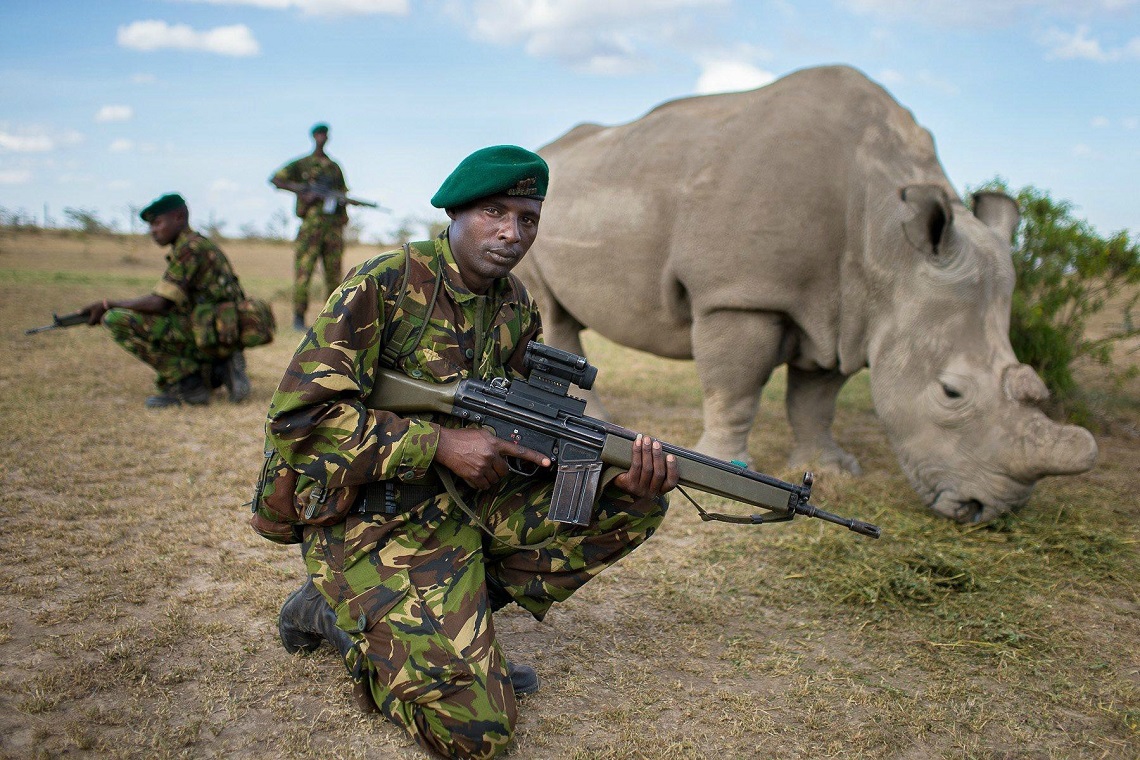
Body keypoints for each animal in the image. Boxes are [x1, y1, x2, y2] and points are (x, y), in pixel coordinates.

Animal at [519, 63, 1094, 524]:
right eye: (950, 392)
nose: (988, 510)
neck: (887, 242)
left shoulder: (848, 313)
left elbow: (816, 399)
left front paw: (832, 467)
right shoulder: (740, 295)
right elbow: (735, 385)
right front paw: (729, 461)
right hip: (546, 209)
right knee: (551, 311)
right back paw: (601, 422)